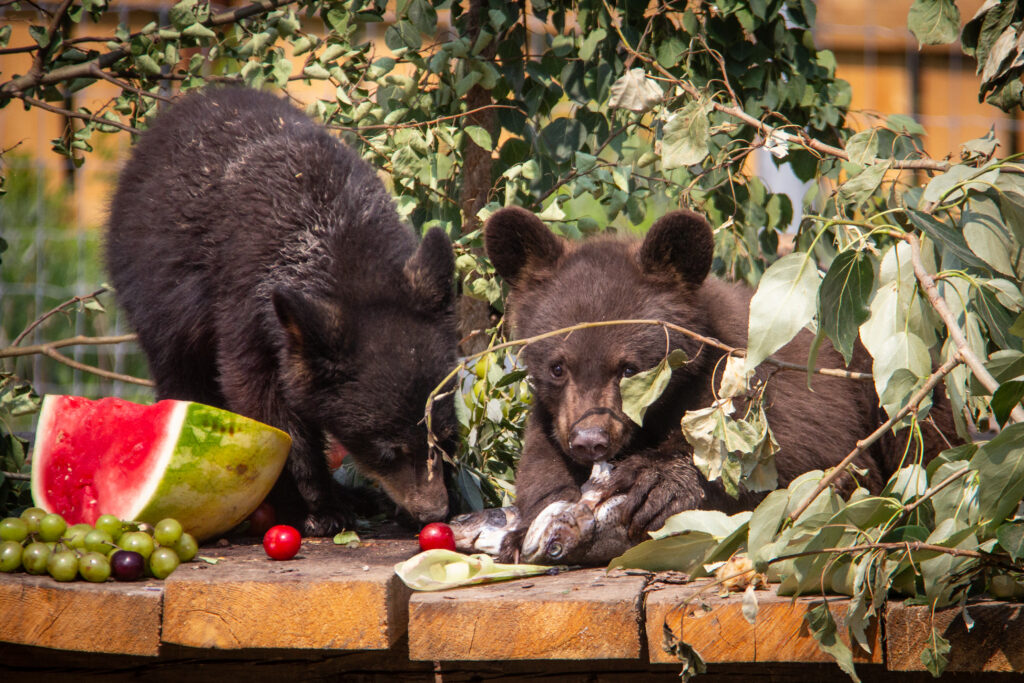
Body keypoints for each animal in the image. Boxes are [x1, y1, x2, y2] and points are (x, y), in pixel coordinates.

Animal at [106, 87, 458, 536]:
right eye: (386, 451)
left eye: (445, 438)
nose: (433, 512)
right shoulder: (246, 309)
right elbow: (263, 403)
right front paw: (315, 507)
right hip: (159, 299)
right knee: (183, 373)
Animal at [483, 206, 957, 563]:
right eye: (557, 367)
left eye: (629, 368)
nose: (590, 440)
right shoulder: (550, 420)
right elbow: (541, 470)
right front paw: (524, 530)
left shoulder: (751, 384)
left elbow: (784, 462)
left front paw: (652, 484)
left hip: (891, 374)